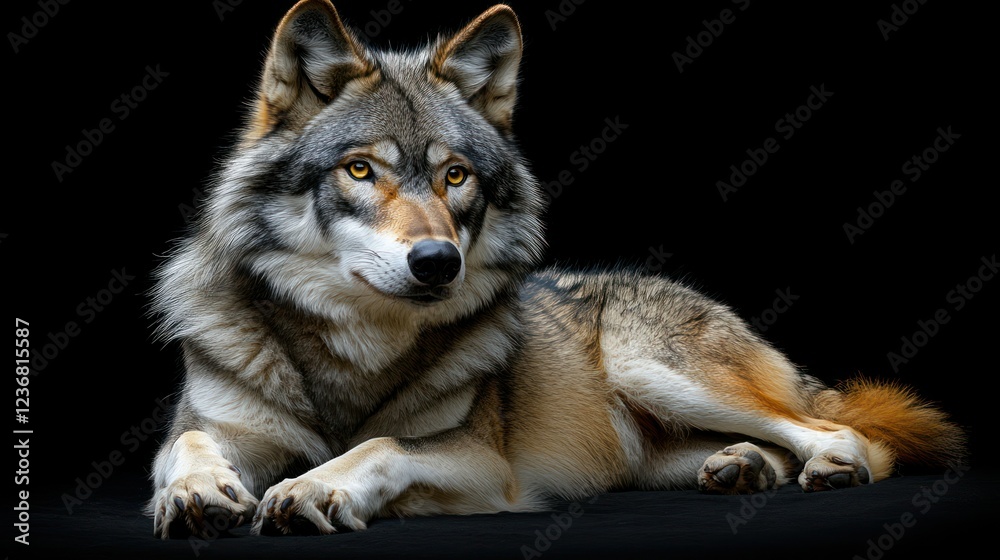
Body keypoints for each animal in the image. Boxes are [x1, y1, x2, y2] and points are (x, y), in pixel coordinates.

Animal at [148, 0, 965, 539]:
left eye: (455, 177)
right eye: (359, 169)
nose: (437, 261)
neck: (352, 351)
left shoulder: (483, 463)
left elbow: (380, 447)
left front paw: (314, 488)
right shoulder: (215, 425)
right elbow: (186, 445)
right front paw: (198, 492)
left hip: (653, 368)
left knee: (840, 433)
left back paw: (826, 467)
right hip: (658, 447)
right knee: (779, 442)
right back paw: (745, 468)